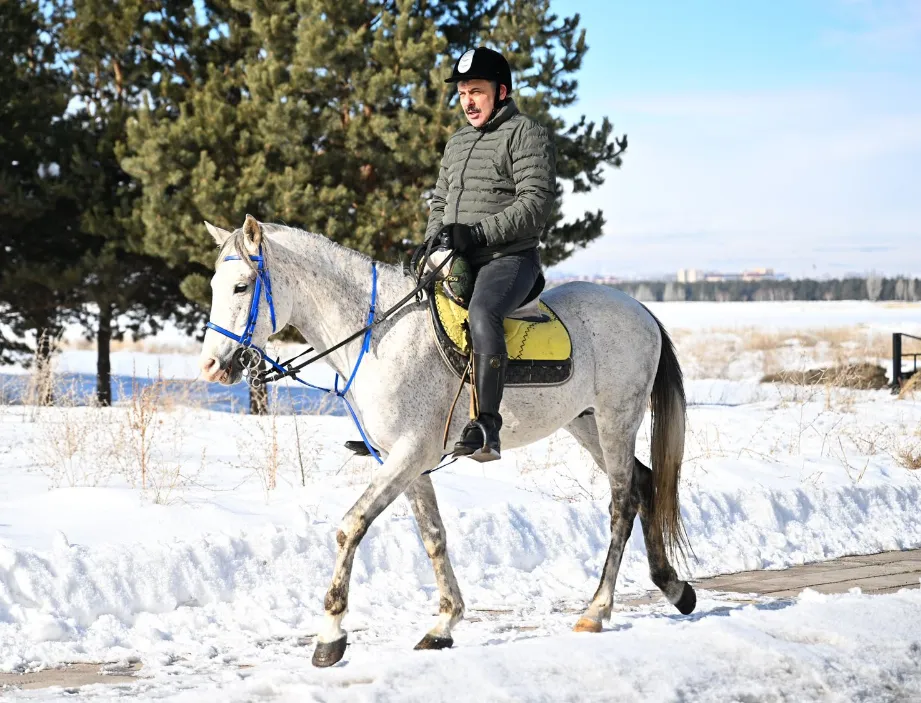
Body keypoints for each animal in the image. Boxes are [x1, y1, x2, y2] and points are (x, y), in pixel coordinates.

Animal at [199, 217, 688, 668]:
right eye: (214, 286)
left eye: (242, 286)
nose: (210, 366)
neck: (379, 336)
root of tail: (641, 310)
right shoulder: (405, 461)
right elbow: (433, 535)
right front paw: (444, 624)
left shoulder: (410, 452)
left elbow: (351, 525)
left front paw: (330, 636)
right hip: (585, 425)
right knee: (644, 484)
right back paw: (675, 588)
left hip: (616, 420)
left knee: (622, 503)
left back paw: (597, 610)